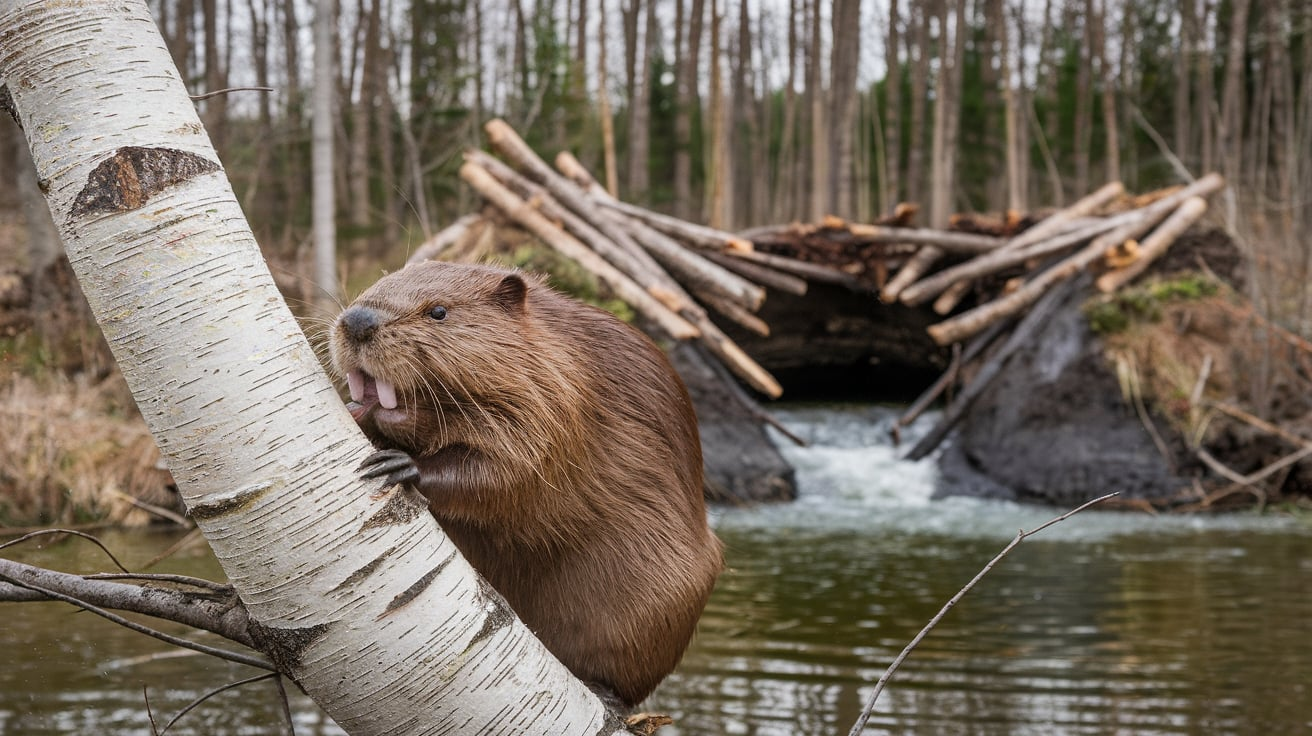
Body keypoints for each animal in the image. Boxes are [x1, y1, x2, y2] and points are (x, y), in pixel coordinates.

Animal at [326, 258, 718, 708]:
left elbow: (509, 470)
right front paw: (356, 412)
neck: (558, 352)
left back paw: (605, 691)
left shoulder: (561, 402)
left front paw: (400, 465)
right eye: (377, 283)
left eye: (438, 311)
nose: (358, 320)